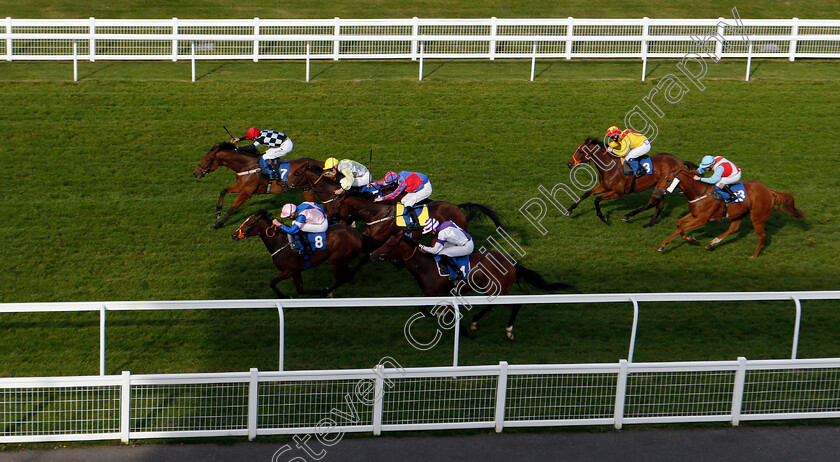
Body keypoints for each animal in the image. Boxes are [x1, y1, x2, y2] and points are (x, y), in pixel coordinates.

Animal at [193, 140, 322, 228]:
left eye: (207, 159)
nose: (196, 173)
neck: (247, 166)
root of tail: (321, 163)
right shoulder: (241, 186)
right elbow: (223, 191)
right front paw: (218, 212)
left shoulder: (246, 192)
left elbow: (232, 208)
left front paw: (217, 225)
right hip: (307, 189)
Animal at [233, 208, 370, 298]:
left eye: (249, 223)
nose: (233, 234)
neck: (281, 243)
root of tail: (357, 234)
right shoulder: (296, 271)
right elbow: (300, 290)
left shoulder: (289, 270)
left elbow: (272, 283)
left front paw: (285, 297)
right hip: (343, 260)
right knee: (349, 275)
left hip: (336, 260)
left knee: (341, 278)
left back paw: (326, 292)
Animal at [372, 235, 572, 340]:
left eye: (390, 243)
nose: (373, 255)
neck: (426, 267)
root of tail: (511, 262)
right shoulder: (431, 295)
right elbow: (424, 310)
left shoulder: (443, 295)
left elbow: (445, 312)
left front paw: (462, 330)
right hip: (495, 290)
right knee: (501, 306)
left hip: (497, 290)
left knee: (510, 306)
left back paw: (502, 329)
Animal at [568, 137, 700, 227]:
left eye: (581, 151)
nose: (569, 164)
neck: (610, 167)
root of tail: (681, 161)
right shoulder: (604, 186)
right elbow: (586, 194)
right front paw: (569, 210)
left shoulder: (618, 192)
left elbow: (597, 199)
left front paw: (603, 218)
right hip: (660, 186)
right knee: (659, 206)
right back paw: (649, 223)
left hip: (661, 185)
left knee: (651, 204)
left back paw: (627, 216)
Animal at [652, 168, 804, 258]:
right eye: (661, 178)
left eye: (668, 180)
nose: (657, 193)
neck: (699, 192)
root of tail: (769, 191)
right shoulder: (695, 215)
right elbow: (679, 224)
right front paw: (691, 239)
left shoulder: (702, 219)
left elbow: (680, 228)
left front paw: (662, 245)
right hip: (739, 214)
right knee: (733, 229)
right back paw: (710, 243)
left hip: (757, 218)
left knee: (762, 235)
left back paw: (754, 256)